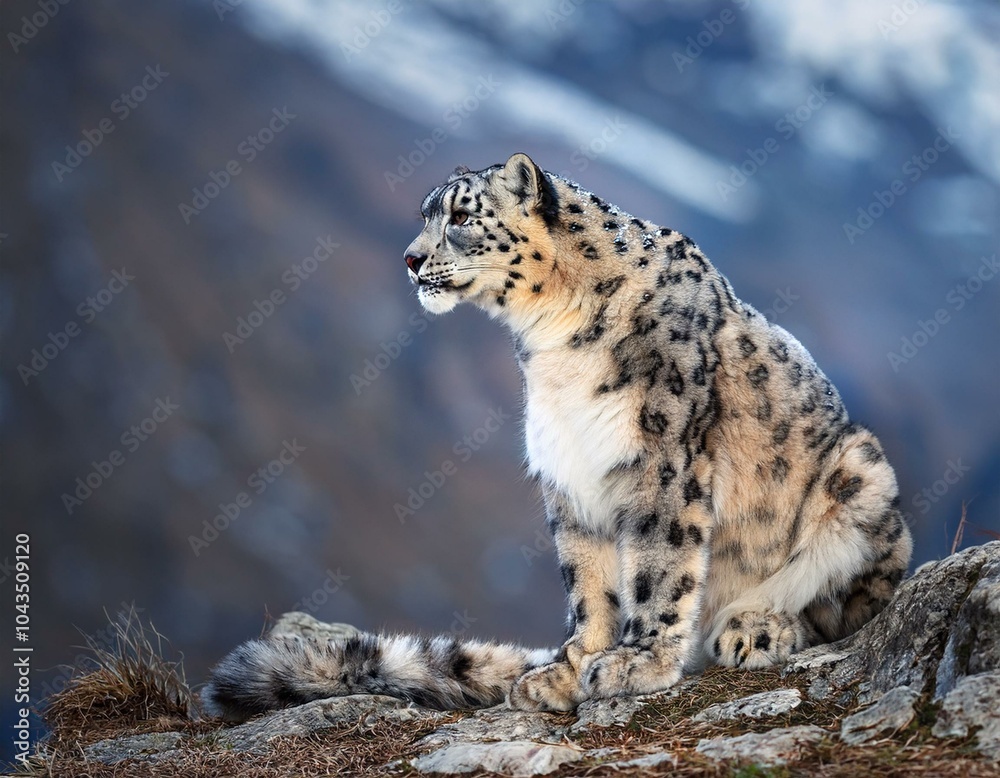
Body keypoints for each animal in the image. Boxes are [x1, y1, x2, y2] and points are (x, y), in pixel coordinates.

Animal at [202, 153, 912, 722]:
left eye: (461, 216)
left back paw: (755, 627)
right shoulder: (569, 467)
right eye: (427, 214)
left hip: (861, 471)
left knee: (835, 602)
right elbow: (589, 580)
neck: (553, 337)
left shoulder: (663, 460)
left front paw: (637, 661)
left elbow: (660, 566)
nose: (408, 258)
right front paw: (570, 669)